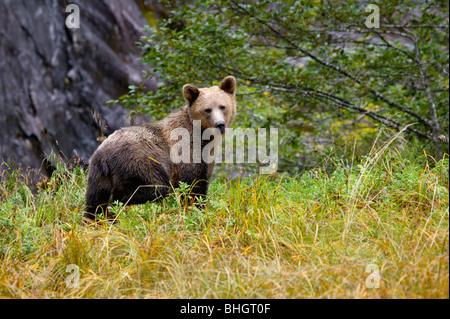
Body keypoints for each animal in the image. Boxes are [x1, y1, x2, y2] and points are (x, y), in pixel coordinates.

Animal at [83, 76, 237, 221]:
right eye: (207, 109)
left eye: (222, 106)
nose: (220, 124)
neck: (203, 136)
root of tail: (103, 155)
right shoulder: (186, 151)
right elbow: (193, 185)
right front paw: (197, 209)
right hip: (140, 162)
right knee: (154, 188)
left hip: (98, 176)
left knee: (94, 203)